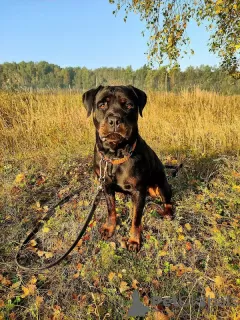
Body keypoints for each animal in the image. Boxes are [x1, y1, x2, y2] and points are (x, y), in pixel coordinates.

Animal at [82, 86, 172, 251]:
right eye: (102, 105)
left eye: (129, 105)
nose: (114, 120)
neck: (114, 156)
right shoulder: (106, 187)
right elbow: (111, 210)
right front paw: (109, 228)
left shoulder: (138, 191)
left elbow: (136, 219)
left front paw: (134, 240)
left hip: (162, 185)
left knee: (167, 199)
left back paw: (167, 212)